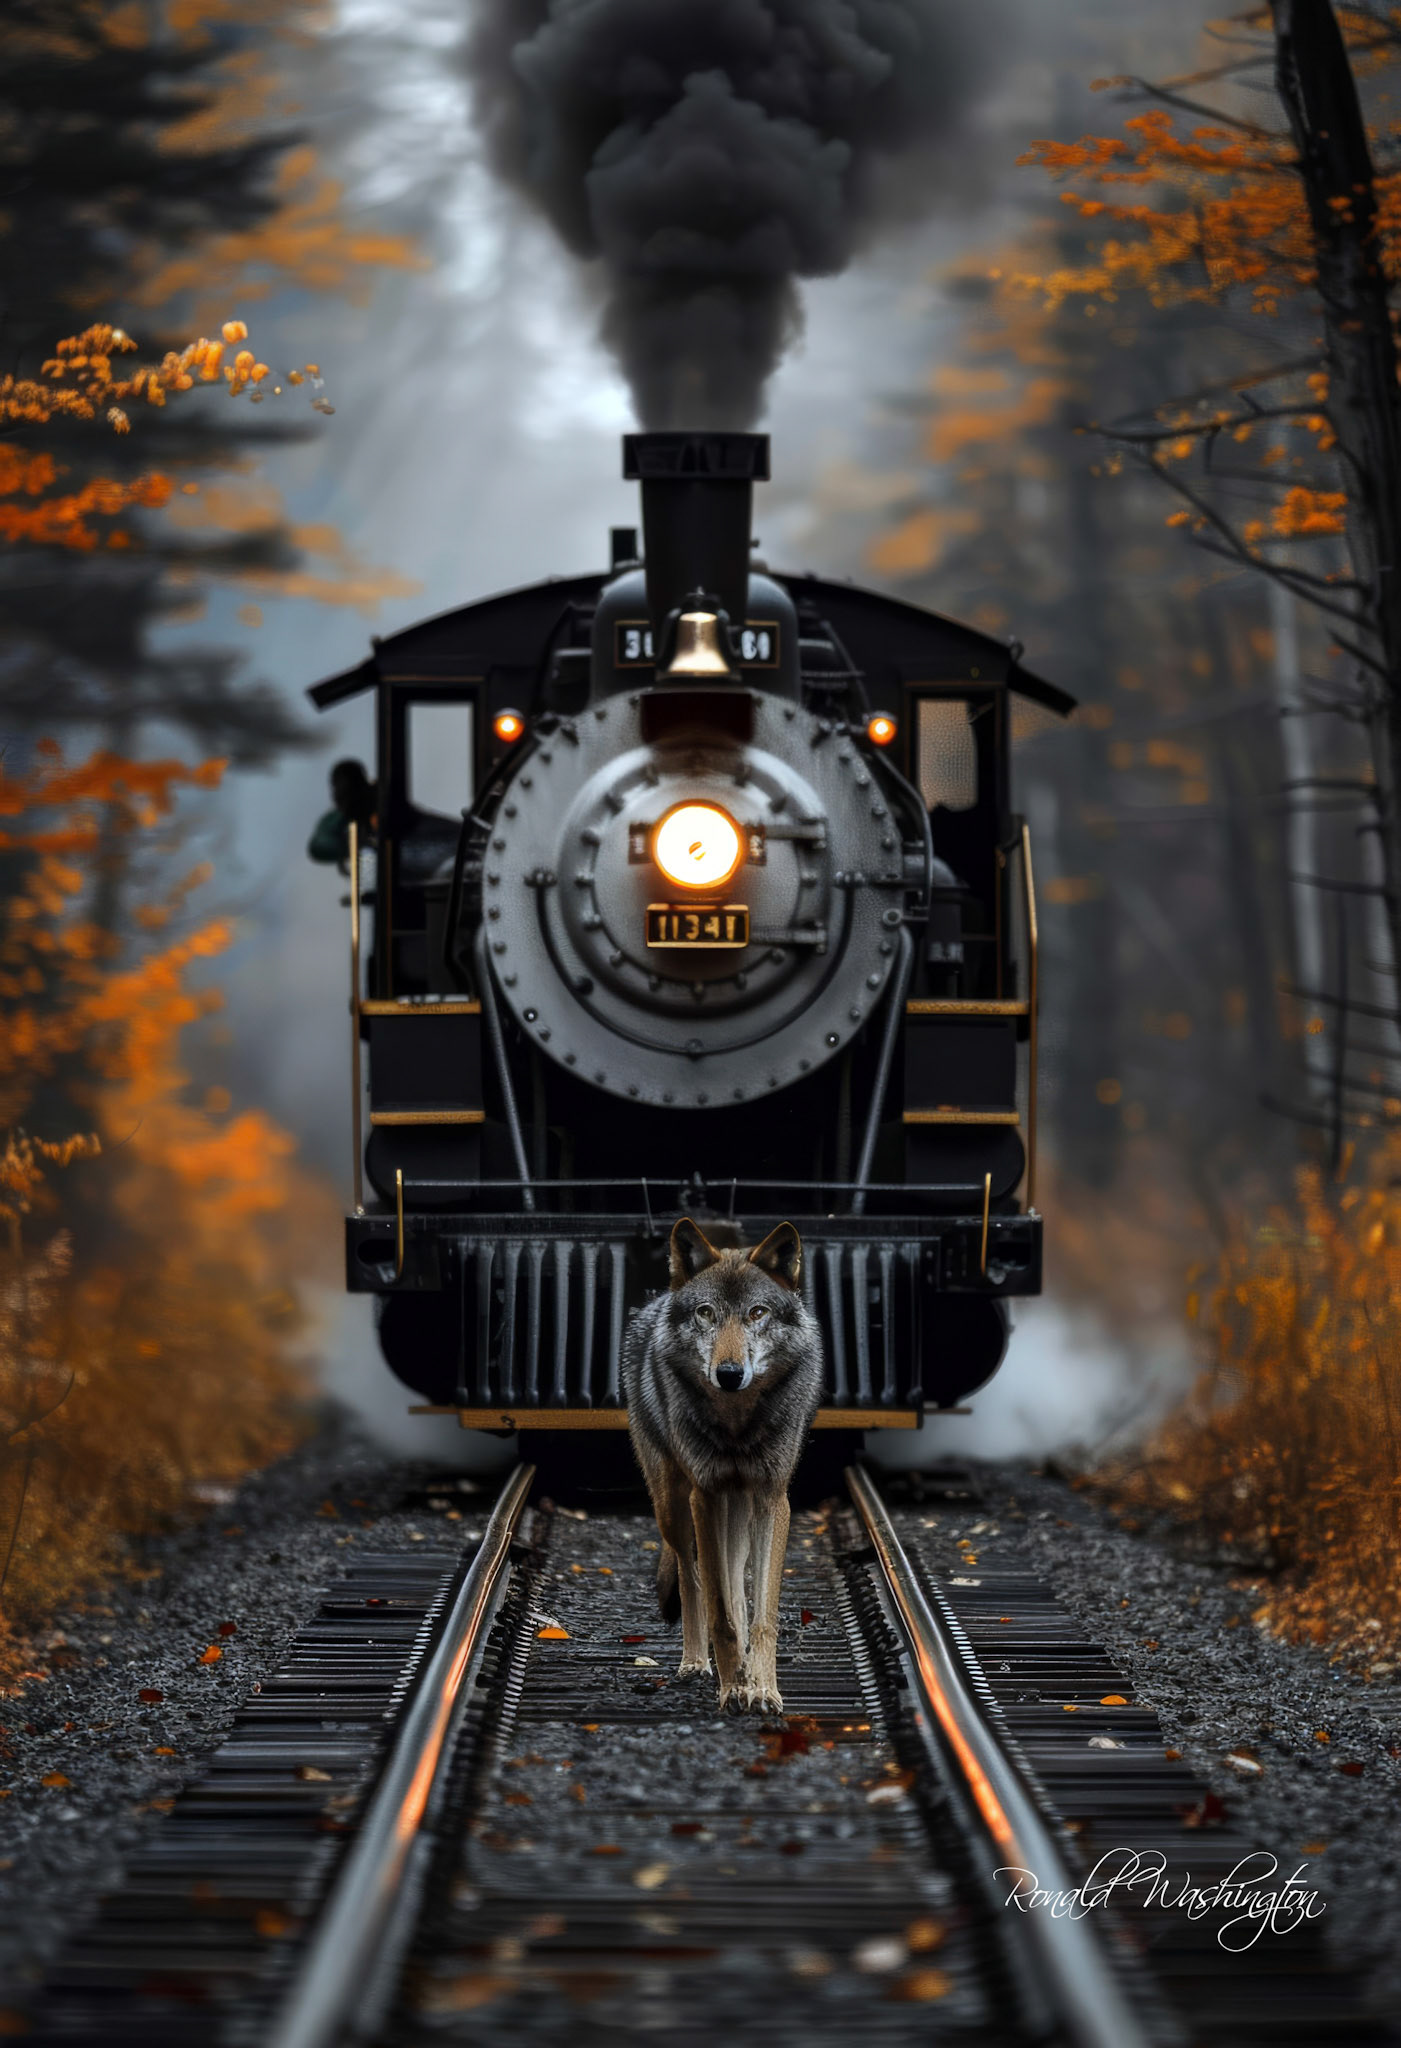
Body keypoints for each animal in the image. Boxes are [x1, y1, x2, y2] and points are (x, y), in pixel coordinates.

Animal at [622, 1217, 824, 1712]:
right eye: (706, 1313)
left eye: (757, 1313)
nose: (729, 1374)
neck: (737, 1425)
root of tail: (657, 1299)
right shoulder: (706, 1494)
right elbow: (718, 1608)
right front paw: (734, 1688)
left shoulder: (773, 1499)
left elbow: (760, 1613)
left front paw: (762, 1688)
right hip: (674, 1507)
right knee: (692, 1576)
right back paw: (697, 1662)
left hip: (740, 1510)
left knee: (734, 1580)